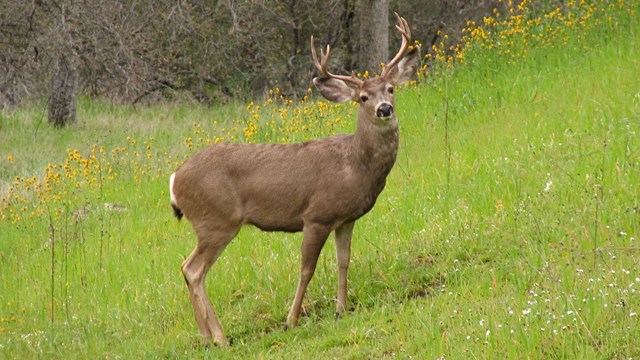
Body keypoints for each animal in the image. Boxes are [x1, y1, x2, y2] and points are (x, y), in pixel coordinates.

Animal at [170, 13, 420, 346]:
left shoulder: (346, 219)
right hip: (216, 220)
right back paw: (219, 337)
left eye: (391, 88)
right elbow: (306, 269)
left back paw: (205, 337)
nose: (384, 109)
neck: (355, 165)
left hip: (212, 223)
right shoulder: (316, 215)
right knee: (193, 270)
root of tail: (174, 178)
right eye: (363, 97)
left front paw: (341, 309)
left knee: (188, 269)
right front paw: (291, 320)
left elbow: (343, 260)